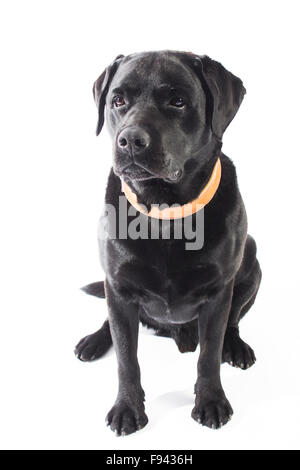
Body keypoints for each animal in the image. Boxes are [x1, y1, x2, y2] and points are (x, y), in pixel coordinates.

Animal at [75, 49, 262, 436]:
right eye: (118, 100)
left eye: (178, 101)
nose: (130, 140)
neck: (164, 216)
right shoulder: (118, 287)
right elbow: (126, 359)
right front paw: (127, 408)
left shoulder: (218, 293)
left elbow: (209, 355)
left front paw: (211, 401)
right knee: (110, 323)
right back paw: (95, 340)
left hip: (252, 257)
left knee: (233, 322)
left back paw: (236, 347)